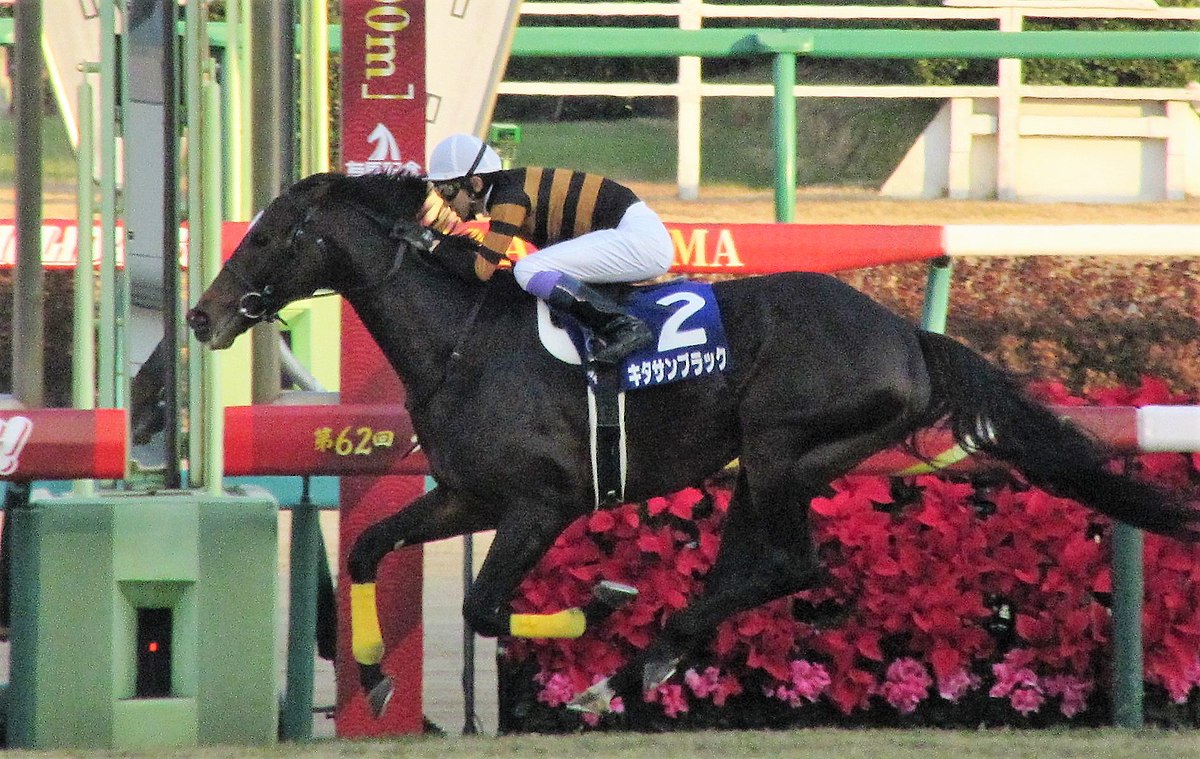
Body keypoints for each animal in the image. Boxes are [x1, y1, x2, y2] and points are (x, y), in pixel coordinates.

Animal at [187, 172, 1200, 725]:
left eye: (269, 235)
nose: (201, 316)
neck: (462, 339)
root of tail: (909, 337)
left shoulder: (544, 501)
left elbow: (482, 605)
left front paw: (596, 603)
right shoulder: (467, 495)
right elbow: (367, 545)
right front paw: (370, 673)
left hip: (785, 443)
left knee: (791, 561)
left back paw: (639, 655)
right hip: (769, 462)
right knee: (749, 565)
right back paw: (644, 663)